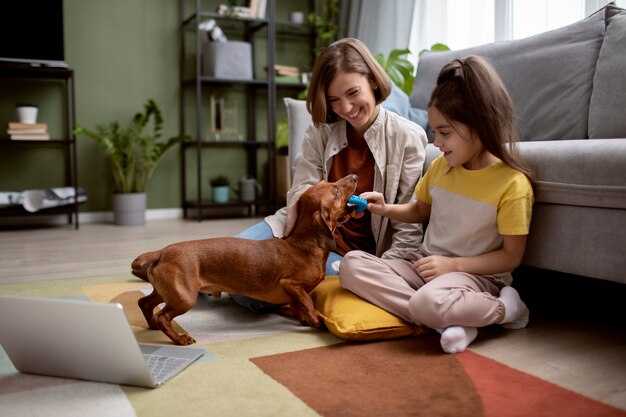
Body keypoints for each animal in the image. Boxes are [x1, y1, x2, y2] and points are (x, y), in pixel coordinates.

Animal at [129, 173, 358, 344]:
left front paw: (303, 317)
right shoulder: (290, 284)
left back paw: (152, 325)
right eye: (336, 192)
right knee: (162, 316)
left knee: (145, 303)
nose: (355, 176)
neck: (302, 246)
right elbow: (307, 302)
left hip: (167, 292)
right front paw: (314, 319)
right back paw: (179, 339)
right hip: (184, 298)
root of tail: (161, 252)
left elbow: (299, 306)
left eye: (325, 181)